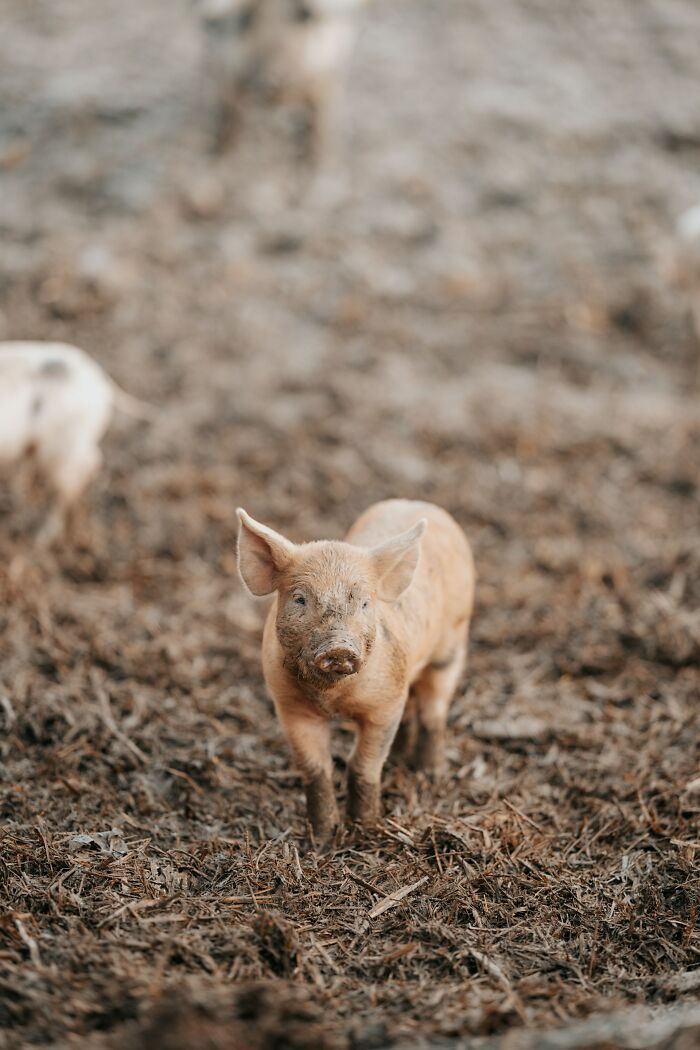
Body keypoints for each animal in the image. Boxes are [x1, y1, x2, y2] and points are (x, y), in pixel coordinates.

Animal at [201, 0, 368, 165]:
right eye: (249, 21)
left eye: (305, 18)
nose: (271, 80)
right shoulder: (230, 67)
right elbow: (230, 108)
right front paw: (220, 154)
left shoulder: (328, 75)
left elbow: (322, 120)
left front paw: (318, 163)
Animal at [237, 499, 475, 840]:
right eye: (300, 599)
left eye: (364, 604)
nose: (338, 648)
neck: (333, 699)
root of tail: (420, 504)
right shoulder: (290, 707)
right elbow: (316, 768)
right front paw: (322, 839)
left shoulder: (384, 704)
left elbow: (363, 764)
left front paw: (366, 828)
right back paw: (400, 759)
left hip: (451, 646)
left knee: (434, 711)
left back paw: (430, 773)